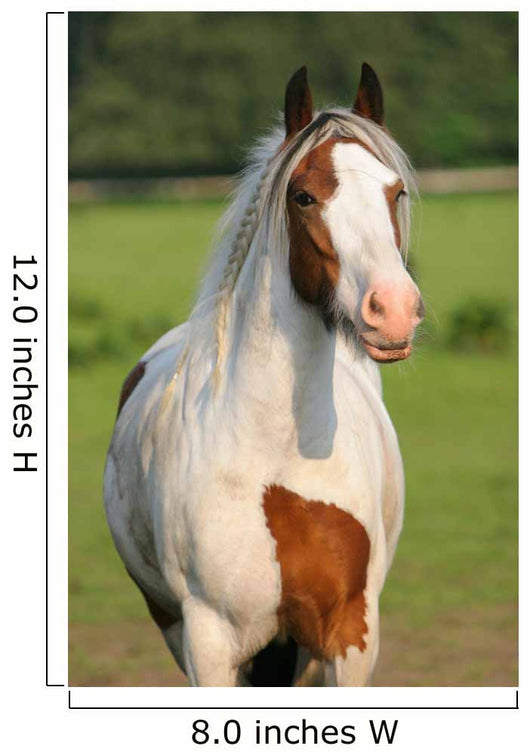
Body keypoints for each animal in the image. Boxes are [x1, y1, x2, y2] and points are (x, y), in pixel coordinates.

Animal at [104, 62, 424, 687]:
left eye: (394, 190)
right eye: (303, 196)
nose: (394, 309)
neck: (278, 461)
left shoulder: (350, 633)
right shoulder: (209, 642)